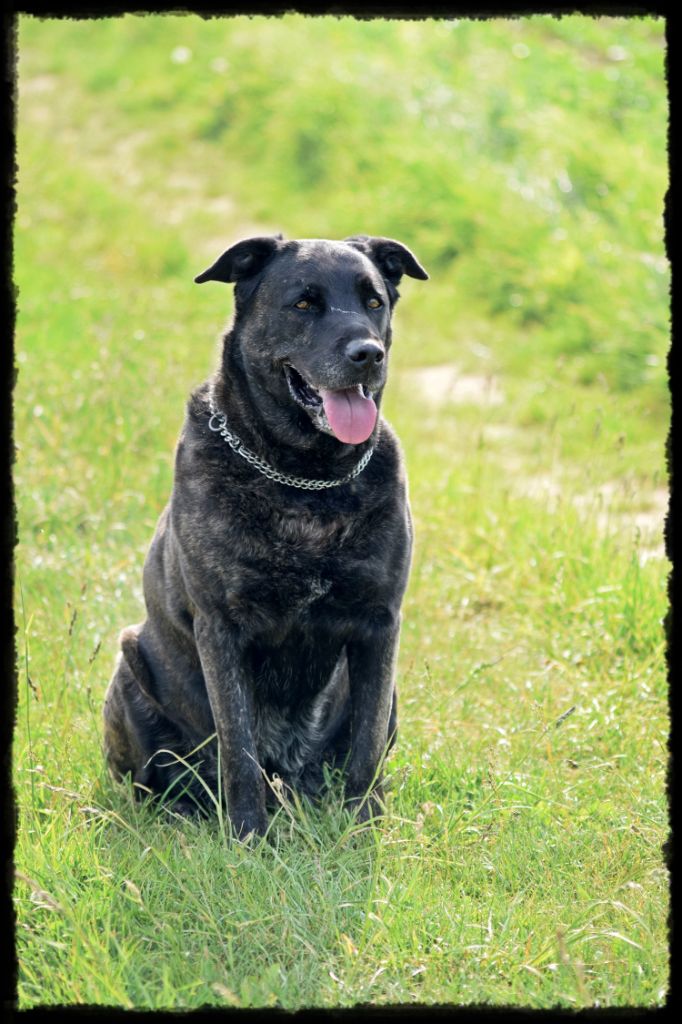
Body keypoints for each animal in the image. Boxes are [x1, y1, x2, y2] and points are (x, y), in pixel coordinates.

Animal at [102, 234, 425, 839]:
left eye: (373, 301)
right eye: (303, 304)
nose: (369, 354)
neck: (306, 477)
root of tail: (291, 776)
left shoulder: (379, 625)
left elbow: (366, 748)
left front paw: (362, 828)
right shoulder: (222, 629)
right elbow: (239, 750)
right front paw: (248, 838)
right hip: (130, 667)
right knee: (164, 780)